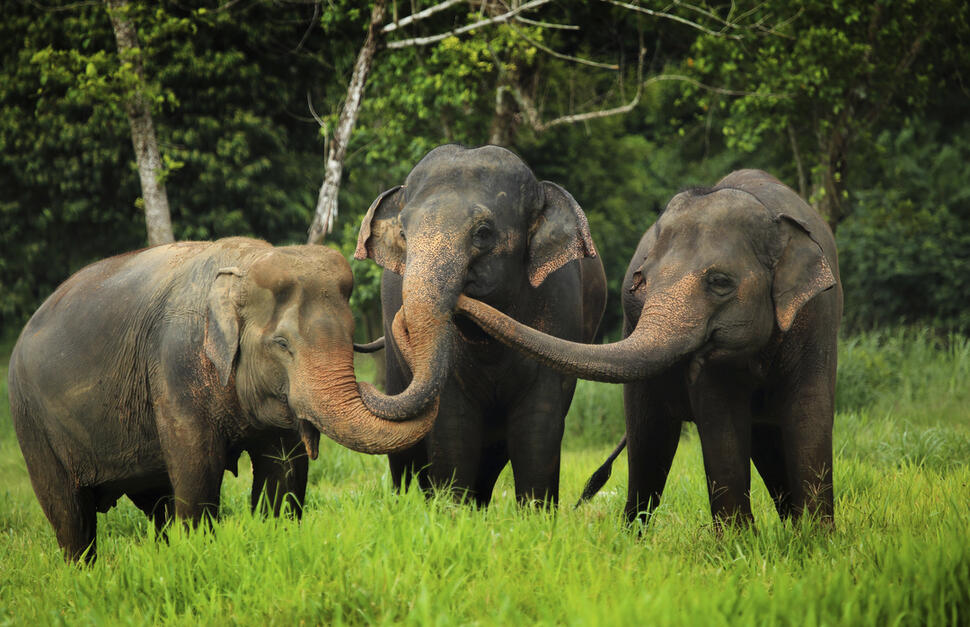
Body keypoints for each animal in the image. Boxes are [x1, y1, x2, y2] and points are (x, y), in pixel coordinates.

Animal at [7, 237, 436, 562]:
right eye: (282, 344)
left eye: (351, 335)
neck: (244, 266)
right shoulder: (175, 367)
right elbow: (198, 471)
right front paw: (200, 556)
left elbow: (283, 473)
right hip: (30, 421)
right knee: (70, 515)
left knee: (156, 504)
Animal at [354, 144, 607, 507]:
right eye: (403, 234)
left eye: (483, 233)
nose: (362, 385)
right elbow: (453, 427)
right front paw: (449, 511)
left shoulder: (560, 308)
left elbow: (538, 426)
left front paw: (537, 515)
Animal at [456, 169, 843, 528]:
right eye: (641, 281)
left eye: (720, 282)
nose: (461, 295)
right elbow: (721, 421)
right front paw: (742, 544)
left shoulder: (818, 316)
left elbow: (810, 412)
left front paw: (815, 541)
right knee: (649, 443)